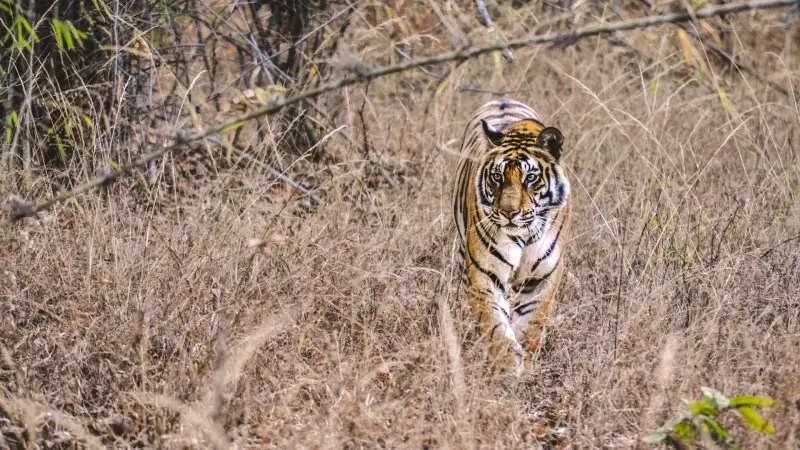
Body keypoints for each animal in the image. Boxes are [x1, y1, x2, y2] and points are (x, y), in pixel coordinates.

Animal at [454, 99, 572, 376]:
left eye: (531, 178)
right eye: (497, 177)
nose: (508, 213)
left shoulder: (543, 278)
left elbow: (531, 325)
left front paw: (525, 368)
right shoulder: (485, 274)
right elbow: (494, 325)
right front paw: (506, 364)